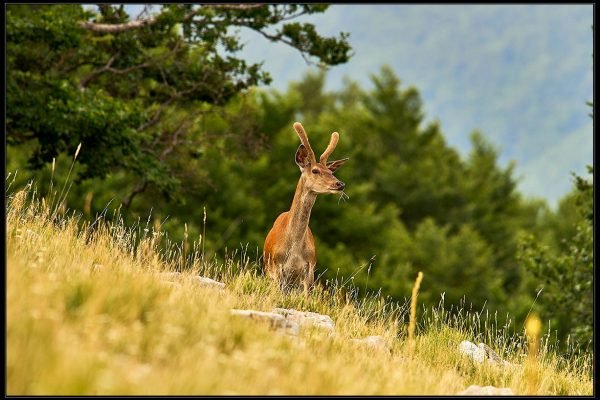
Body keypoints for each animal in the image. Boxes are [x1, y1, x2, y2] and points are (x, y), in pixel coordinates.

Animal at [262, 122, 346, 294]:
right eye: (315, 170)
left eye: (330, 171)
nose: (340, 184)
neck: (294, 248)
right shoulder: (277, 267)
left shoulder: (309, 270)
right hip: (269, 270)